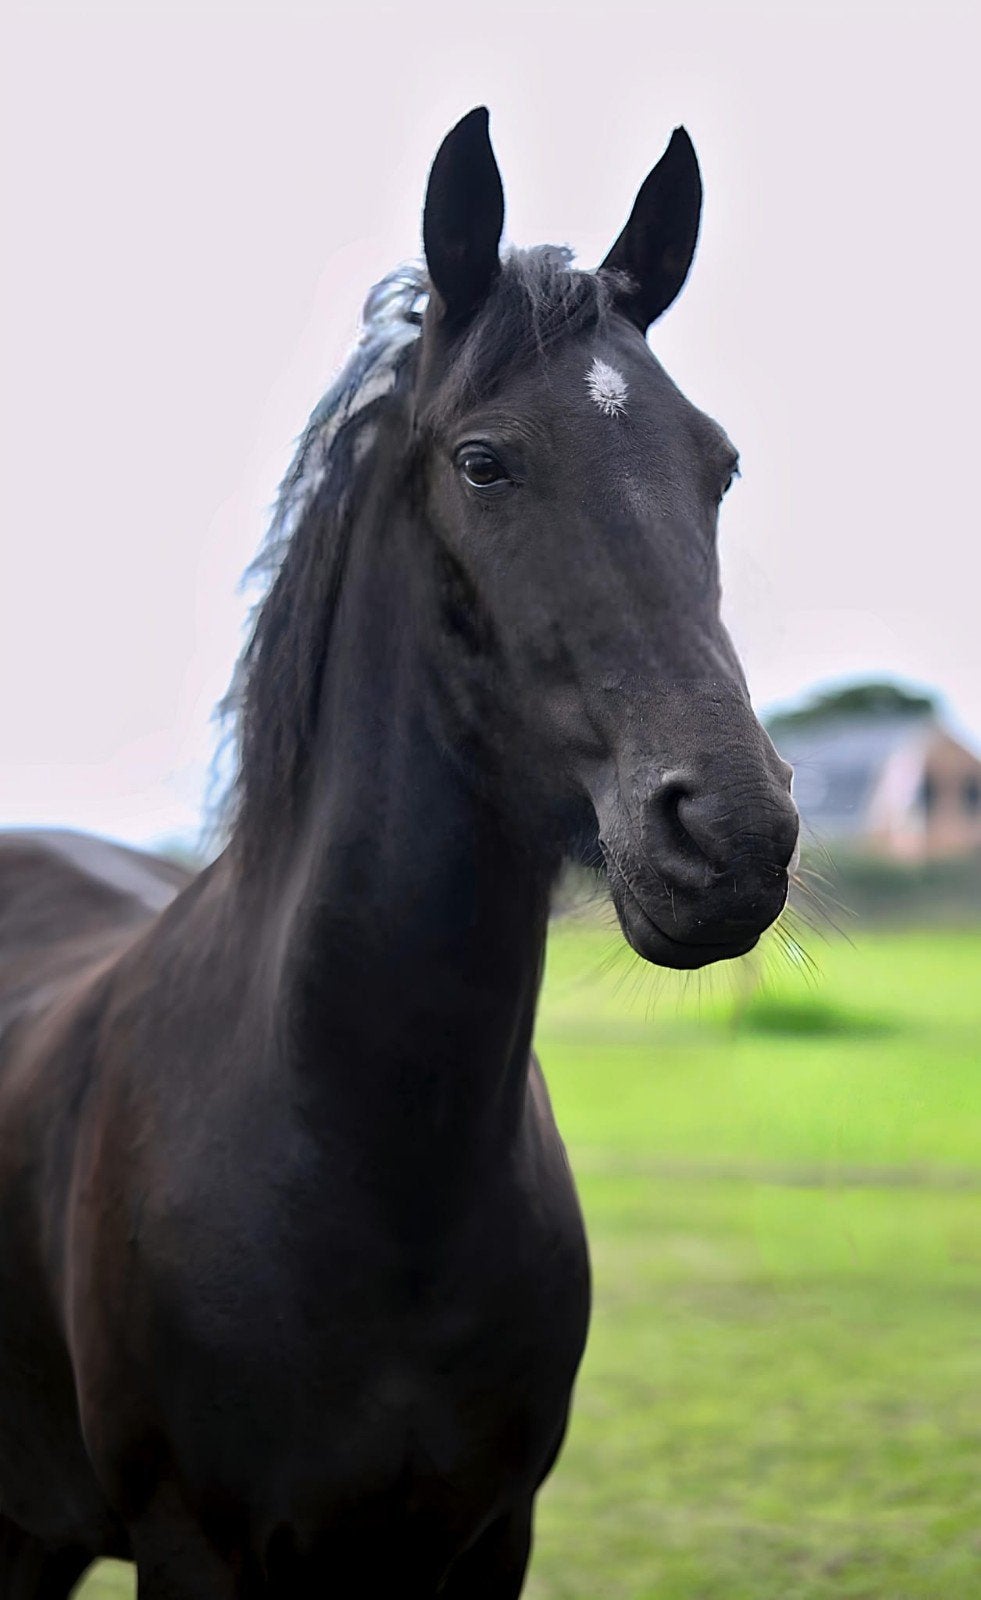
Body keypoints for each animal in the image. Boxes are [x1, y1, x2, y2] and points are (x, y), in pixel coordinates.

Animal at [0, 108, 798, 1598]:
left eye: (715, 464)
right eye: (484, 461)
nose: (734, 834)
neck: (373, 1157)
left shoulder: (486, 1540)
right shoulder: (192, 1546)